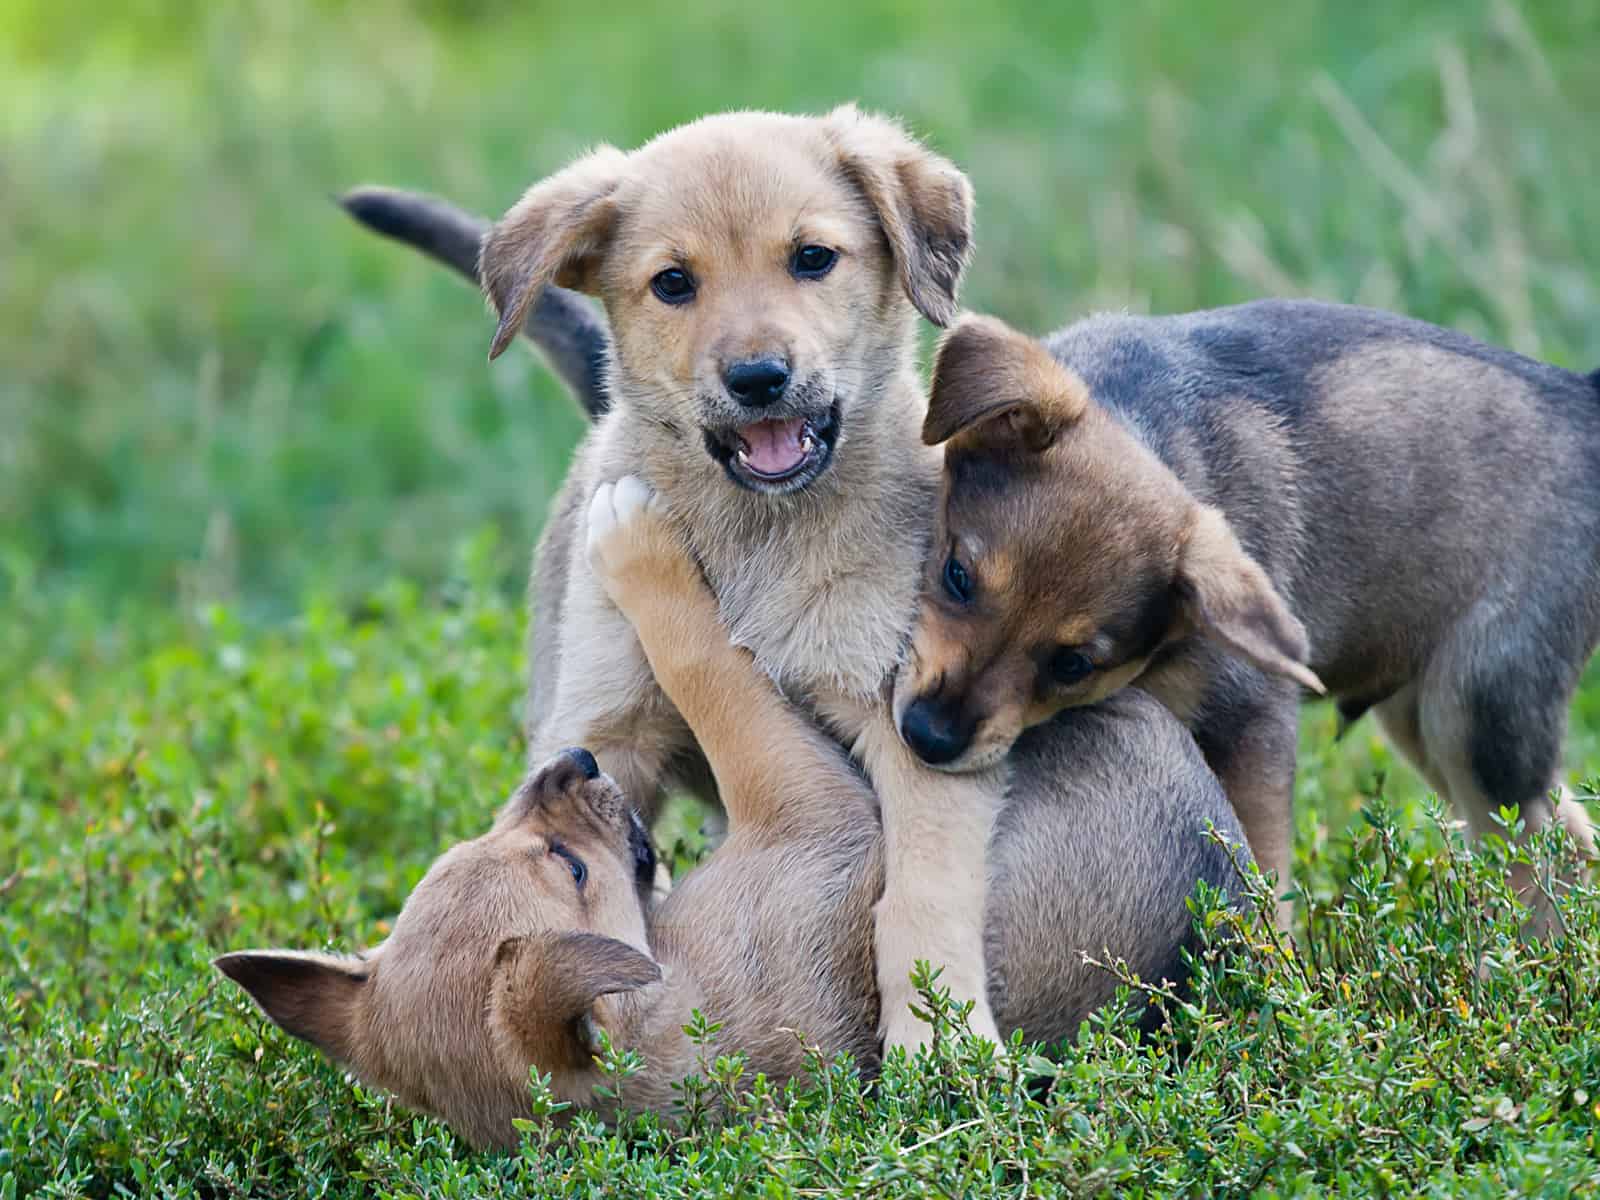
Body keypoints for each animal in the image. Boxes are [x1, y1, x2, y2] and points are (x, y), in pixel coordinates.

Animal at [216, 476, 1248, 1158]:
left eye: (482, 840)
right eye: (571, 869)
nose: (572, 765)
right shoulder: (812, 809)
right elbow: (710, 669)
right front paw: (636, 545)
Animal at [902, 305, 1600, 928]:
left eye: (1072, 666)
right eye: (957, 577)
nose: (928, 738)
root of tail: (1582, 399)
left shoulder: (1254, 729)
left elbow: (1264, 881)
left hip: (1476, 714)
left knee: (1546, 860)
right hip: (1426, 718)